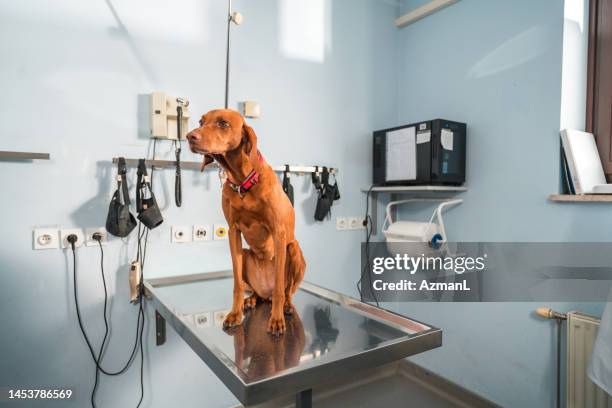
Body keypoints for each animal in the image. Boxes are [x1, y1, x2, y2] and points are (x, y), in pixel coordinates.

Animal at [186, 109, 306, 334]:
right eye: (201, 121)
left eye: (223, 123)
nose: (189, 136)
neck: (242, 182)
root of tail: (265, 294)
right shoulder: (233, 232)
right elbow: (237, 285)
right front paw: (235, 313)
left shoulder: (278, 232)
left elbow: (279, 286)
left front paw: (276, 320)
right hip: (246, 255)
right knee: (256, 292)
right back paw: (251, 300)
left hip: (293, 250)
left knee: (285, 291)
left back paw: (285, 306)